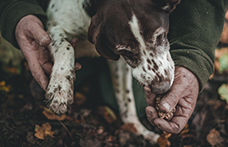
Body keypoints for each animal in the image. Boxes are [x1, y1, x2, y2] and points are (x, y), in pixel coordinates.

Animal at [45, 0, 180, 144]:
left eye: (159, 36)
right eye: (125, 51)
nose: (161, 88)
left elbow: (126, 101)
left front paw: (138, 130)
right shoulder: (54, 26)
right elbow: (66, 46)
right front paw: (60, 89)